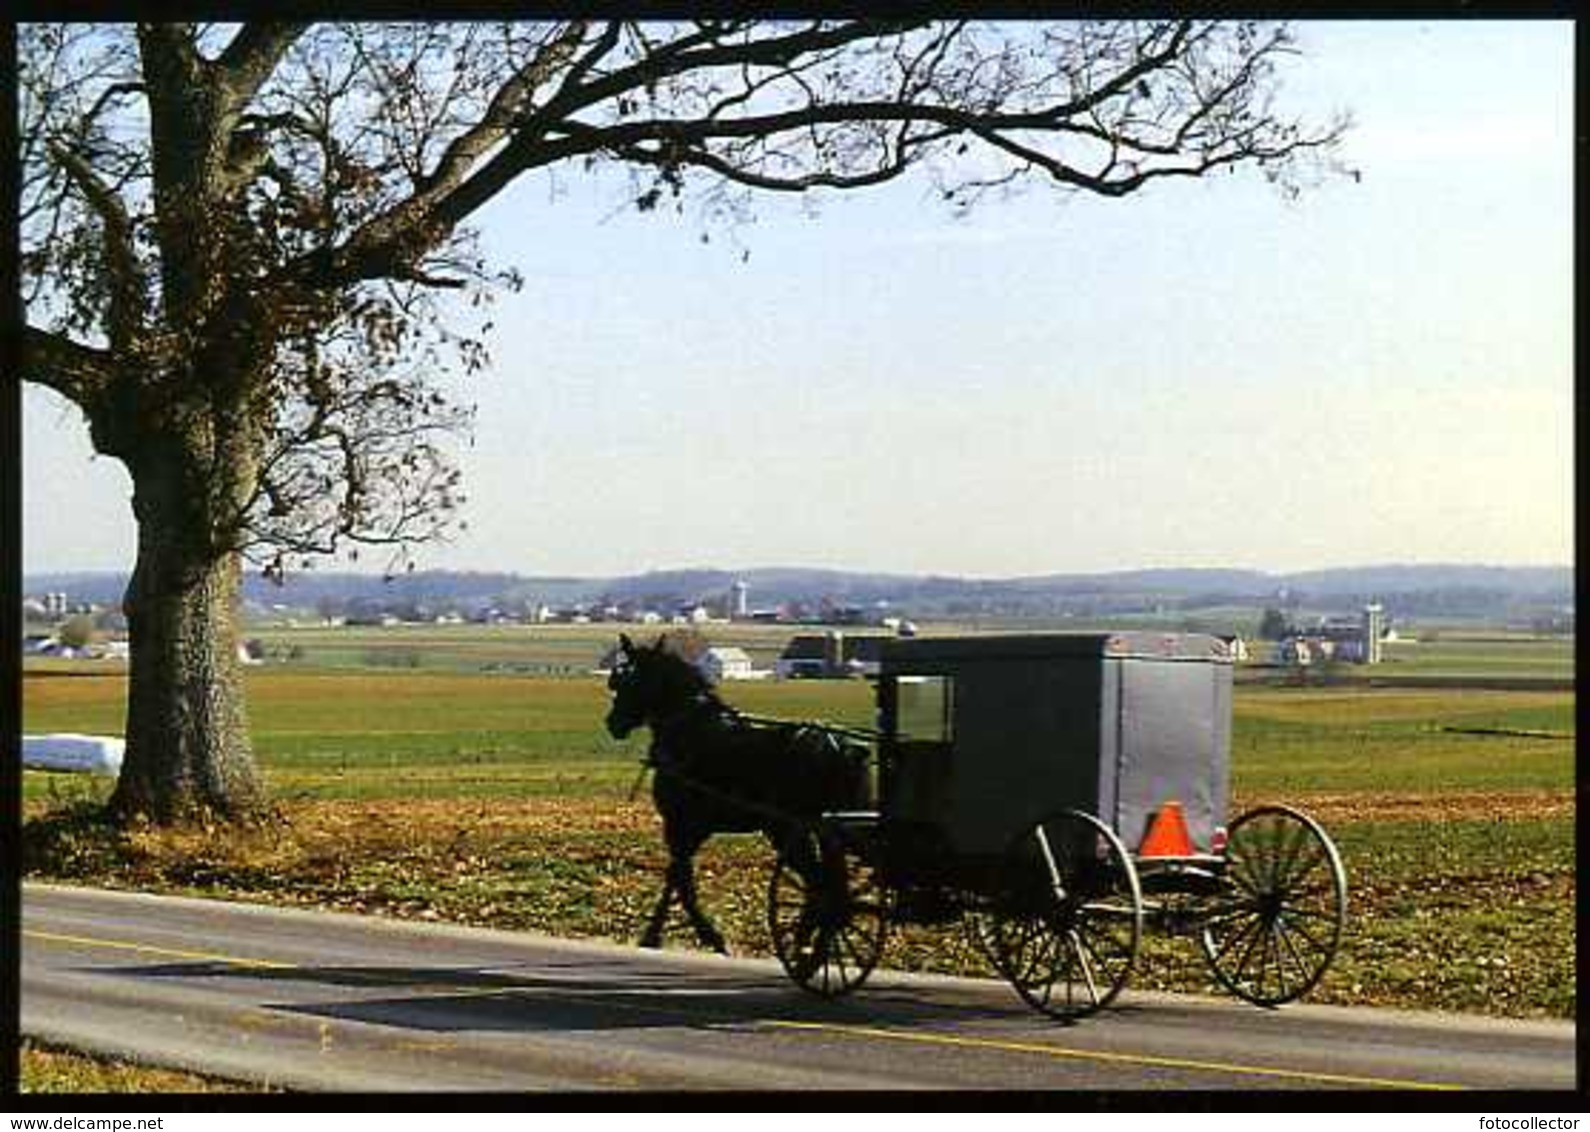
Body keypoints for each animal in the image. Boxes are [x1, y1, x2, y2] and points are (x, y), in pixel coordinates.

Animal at [604, 632, 871, 947]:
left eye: (625, 680)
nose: (612, 723)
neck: (688, 728)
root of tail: (844, 748)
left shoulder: (680, 825)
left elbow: (679, 879)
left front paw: (687, 934)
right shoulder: (693, 829)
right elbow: (678, 878)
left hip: (789, 830)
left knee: (820, 882)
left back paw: (806, 939)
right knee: (825, 883)